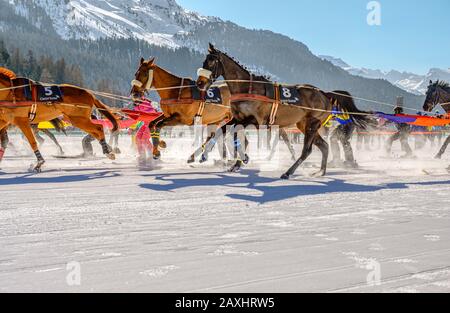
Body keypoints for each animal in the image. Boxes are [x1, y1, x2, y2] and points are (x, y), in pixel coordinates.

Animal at [196, 43, 370, 178]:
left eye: (211, 62)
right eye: (204, 61)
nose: (200, 83)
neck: (247, 88)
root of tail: (324, 93)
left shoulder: (256, 121)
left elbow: (233, 133)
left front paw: (242, 158)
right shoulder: (238, 118)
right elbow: (222, 130)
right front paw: (208, 155)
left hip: (312, 124)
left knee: (307, 150)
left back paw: (288, 172)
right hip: (304, 124)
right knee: (325, 146)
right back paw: (321, 171)